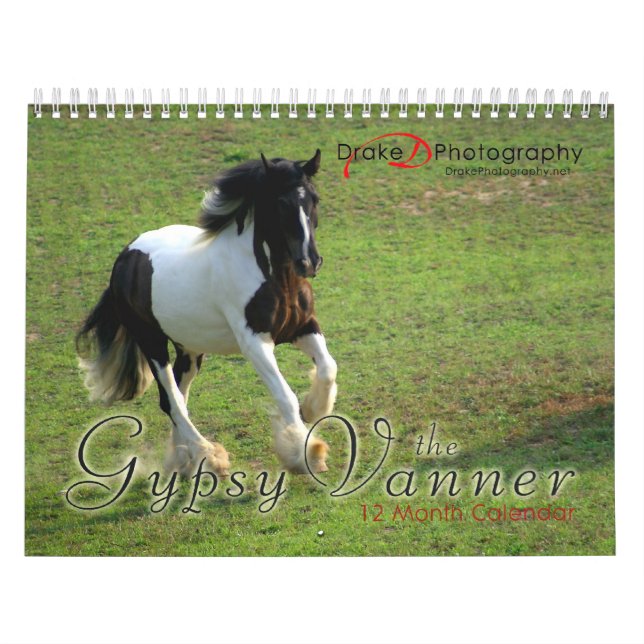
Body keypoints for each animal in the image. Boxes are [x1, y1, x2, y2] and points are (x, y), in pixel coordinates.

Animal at [76, 149, 336, 477]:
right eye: (281, 203)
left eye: (314, 199)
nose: (309, 262)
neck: (276, 278)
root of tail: (124, 258)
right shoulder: (254, 342)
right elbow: (285, 396)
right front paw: (307, 454)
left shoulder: (304, 327)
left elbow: (328, 368)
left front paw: (313, 408)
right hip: (152, 342)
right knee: (171, 400)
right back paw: (208, 455)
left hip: (189, 349)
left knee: (178, 396)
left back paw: (183, 461)